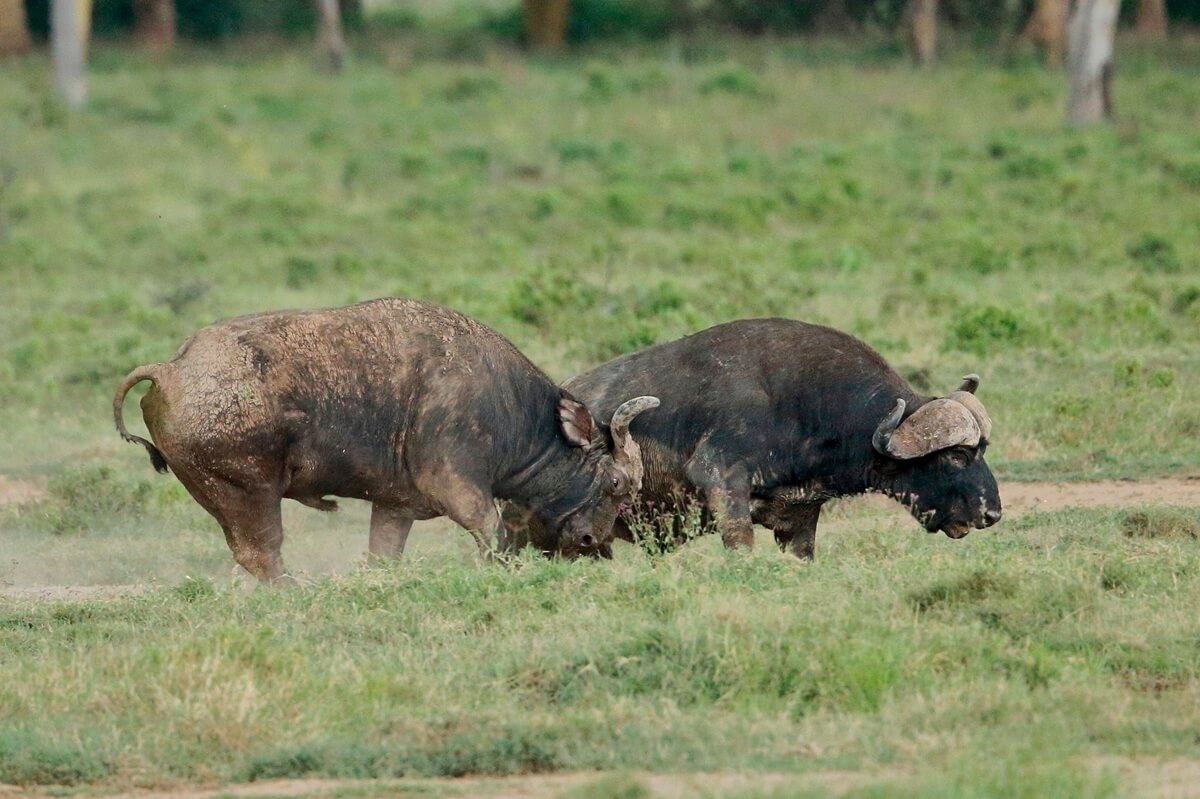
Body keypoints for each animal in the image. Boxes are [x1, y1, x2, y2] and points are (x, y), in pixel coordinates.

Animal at [112, 298, 659, 582]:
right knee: (262, 554)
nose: (591, 541)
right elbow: (492, 533)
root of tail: (172, 368)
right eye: (615, 484)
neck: (512, 409)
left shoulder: (394, 508)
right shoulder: (457, 487)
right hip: (251, 493)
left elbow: (382, 554)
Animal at [501, 318, 1000, 559]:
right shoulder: (722, 480)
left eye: (981, 450)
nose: (992, 513)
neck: (807, 403)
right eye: (954, 457)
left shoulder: (799, 518)